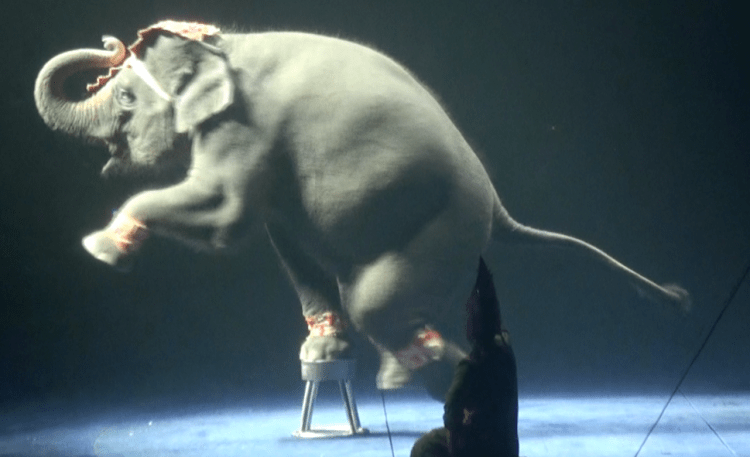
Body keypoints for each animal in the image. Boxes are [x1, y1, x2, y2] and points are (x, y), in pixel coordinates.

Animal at [34, 20, 690, 399]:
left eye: (125, 96)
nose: (108, 44)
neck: (224, 47)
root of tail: (498, 207)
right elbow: (282, 241)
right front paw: (323, 354)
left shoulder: (246, 127)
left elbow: (225, 214)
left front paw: (99, 249)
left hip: (444, 230)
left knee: (376, 301)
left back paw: (420, 376)